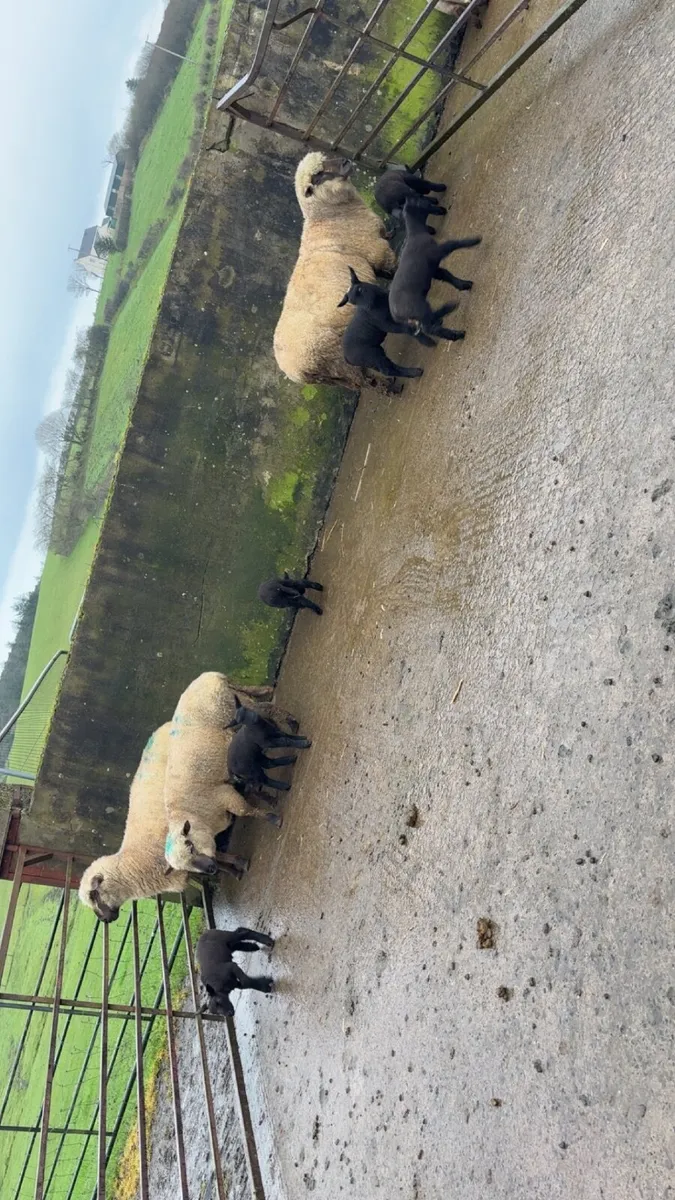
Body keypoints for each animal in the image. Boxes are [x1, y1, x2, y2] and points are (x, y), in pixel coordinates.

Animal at [78, 722, 249, 923]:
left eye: (94, 895)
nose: (105, 920)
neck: (136, 861)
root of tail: (162, 727)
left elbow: (218, 857)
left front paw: (240, 864)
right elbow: (215, 861)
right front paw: (236, 870)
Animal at [164, 672, 301, 874]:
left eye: (190, 845)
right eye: (187, 869)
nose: (210, 869)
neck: (193, 816)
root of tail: (208, 676)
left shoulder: (222, 795)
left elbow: (247, 810)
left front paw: (273, 818)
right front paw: (239, 864)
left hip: (233, 707)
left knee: (265, 708)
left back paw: (292, 723)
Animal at [273, 151, 397, 390]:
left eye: (325, 161)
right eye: (319, 175)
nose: (345, 162)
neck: (329, 218)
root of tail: (296, 372)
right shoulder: (376, 250)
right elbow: (392, 268)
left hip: (335, 374)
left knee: (358, 382)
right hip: (337, 357)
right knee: (365, 380)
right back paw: (390, 385)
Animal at [388, 200, 481, 339]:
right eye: (422, 202)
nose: (441, 209)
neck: (416, 233)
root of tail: (395, 314)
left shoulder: (433, 269)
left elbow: (447, 275)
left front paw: (464, 284)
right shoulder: (437, 252)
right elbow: (453, 244)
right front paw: (474, 240)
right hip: (420, 309)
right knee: (431, 329)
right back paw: (456, 332)